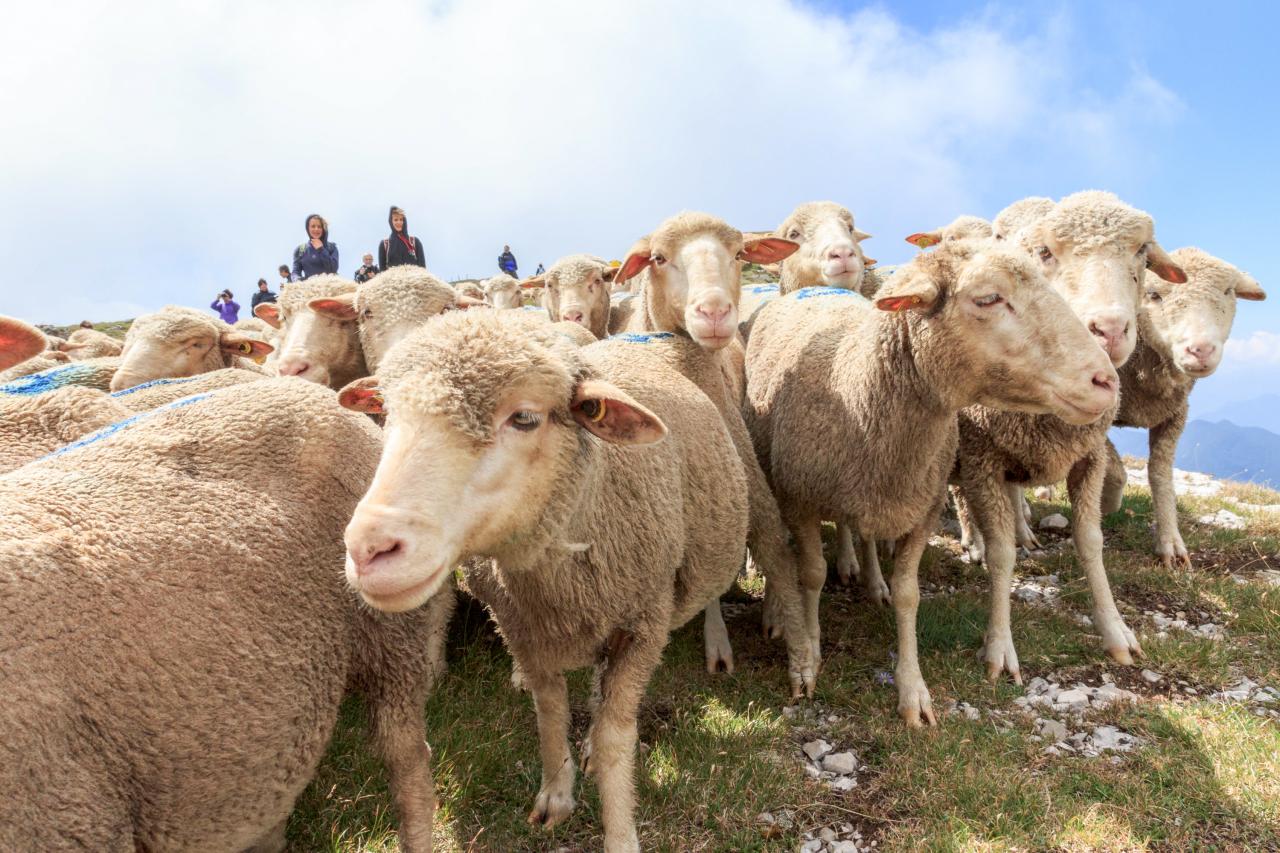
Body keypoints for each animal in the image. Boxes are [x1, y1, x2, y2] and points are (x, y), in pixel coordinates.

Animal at [340, 307, 752, 850]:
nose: (369, 549)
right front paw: (556, 794)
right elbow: (550, 710)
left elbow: (618, 736)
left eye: (524, 418)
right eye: (385, 410)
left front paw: (620, 831)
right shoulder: (522, 626)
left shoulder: (645, 621)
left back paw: (716, 642)